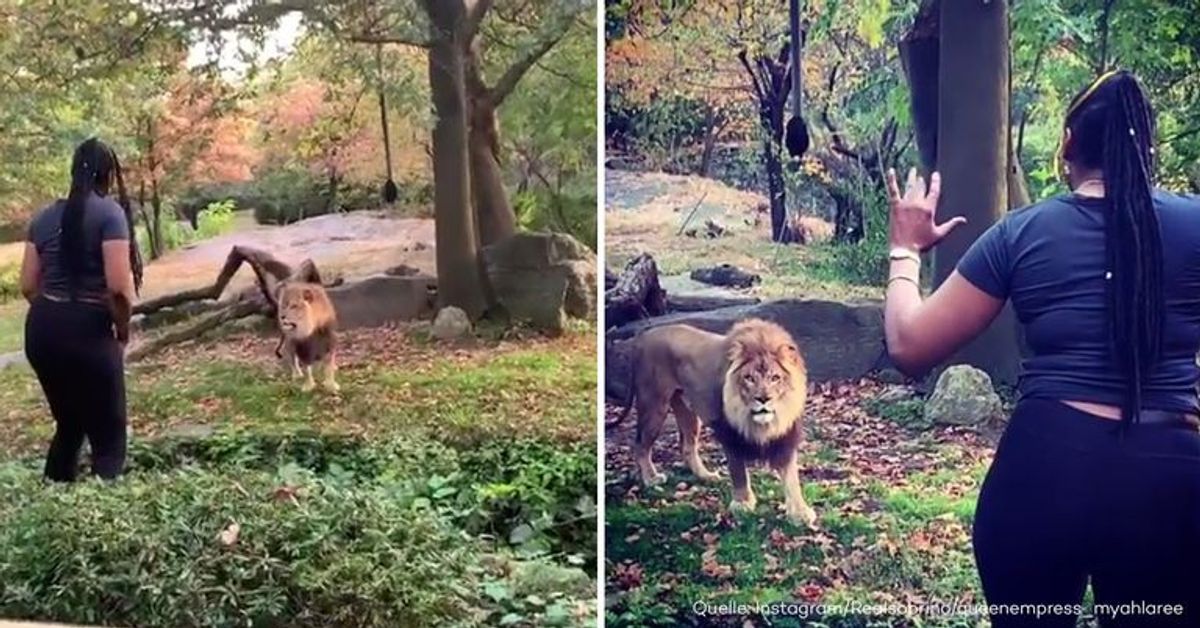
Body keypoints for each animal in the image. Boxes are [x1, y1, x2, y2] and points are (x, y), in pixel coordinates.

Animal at [619, 317, 816, 528]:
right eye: (749, 378)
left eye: (775, 378)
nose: (763, 399)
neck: (760, 422)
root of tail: (643, 336)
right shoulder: (730, 434)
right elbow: (738, 472)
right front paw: (743, 504)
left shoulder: (785, 438)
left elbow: (791, 479)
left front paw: (800, 513)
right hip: (654, 405)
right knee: (640, 445)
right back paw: (651, 479)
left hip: (687, 412)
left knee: (687, 447)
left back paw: (706, 476)